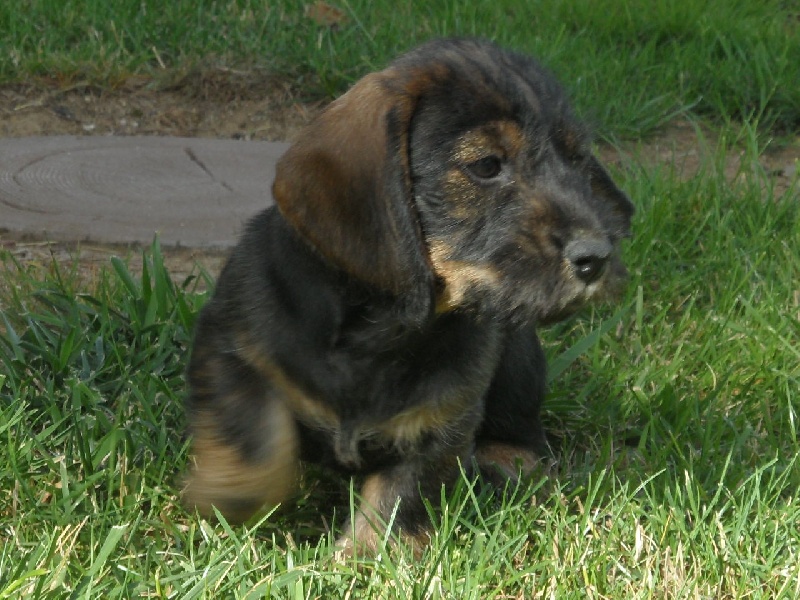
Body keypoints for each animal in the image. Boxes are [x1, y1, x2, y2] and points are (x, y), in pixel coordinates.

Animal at [184, 37, 636, 552]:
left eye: (577, 159)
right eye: (486, 165)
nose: (596, 257)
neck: (379, 333)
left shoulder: (443, 417)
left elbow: (398, 496)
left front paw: (366, 555)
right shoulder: (232, 347)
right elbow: (252, 435)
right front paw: (229, 494)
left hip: (519, 354)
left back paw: (510, 465)